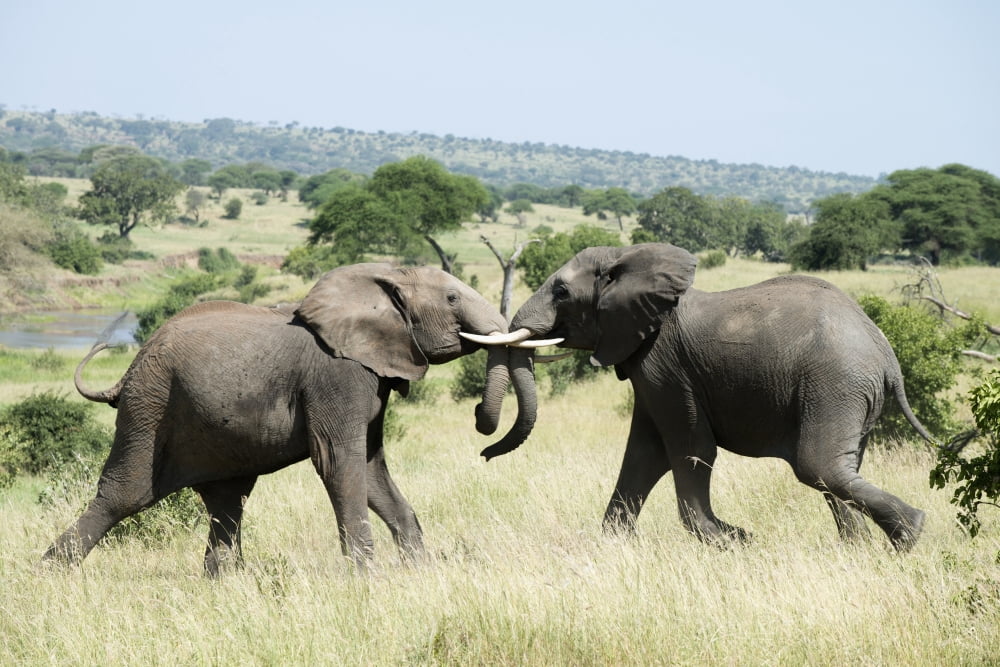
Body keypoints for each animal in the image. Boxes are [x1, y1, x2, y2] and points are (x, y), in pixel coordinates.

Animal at [44, 263, 534, 573]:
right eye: (451, 298)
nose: (481, 423)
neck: (388, 278)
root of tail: (127, 372)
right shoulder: (336, 374)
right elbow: (339, 462)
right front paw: (366, 580)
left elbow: (372, 468)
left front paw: (420, 573)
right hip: (150, 403)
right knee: (125, 495)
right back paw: (48, 576)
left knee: (227, 502)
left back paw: (225, 586)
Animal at [477, 243, 932, 552]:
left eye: (561, 293)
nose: (483, 438)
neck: (630, 261)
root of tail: (887, 354)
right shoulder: (649, 366)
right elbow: (643, 453)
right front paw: (616, 545)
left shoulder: (664, 363)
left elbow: (689, 448)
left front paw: (737, 541)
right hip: (848, 391)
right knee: (838, 468)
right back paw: (860, 548)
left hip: (835, 383)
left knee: (817, 466)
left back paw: (910, 535)